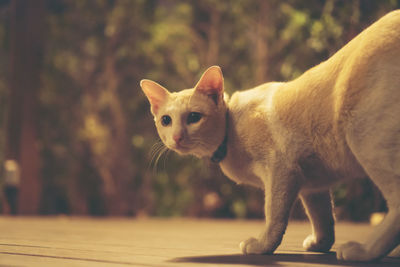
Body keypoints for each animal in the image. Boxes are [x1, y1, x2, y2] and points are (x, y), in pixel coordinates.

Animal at [140, 9, 400, 262]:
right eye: (166, 121)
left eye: (194, 117)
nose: (177, 137)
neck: (231, 128)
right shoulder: (312, 185)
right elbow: (322, 218)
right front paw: (320, 245)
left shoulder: (281, 171)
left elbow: (274, 217)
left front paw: (261, 246)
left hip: (363, 136)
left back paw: (363, 251)